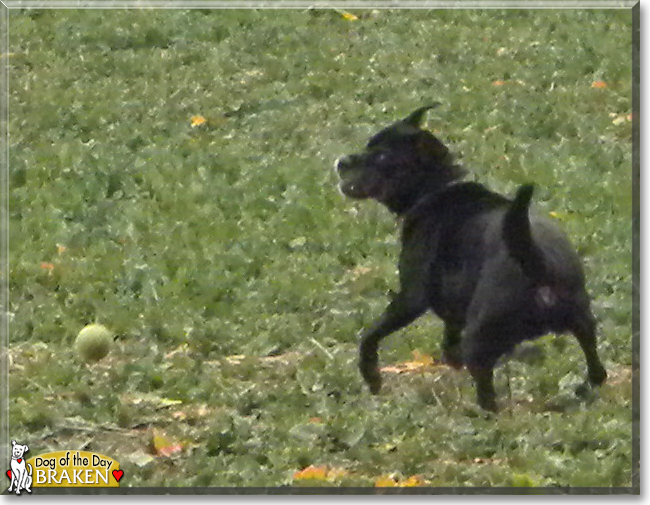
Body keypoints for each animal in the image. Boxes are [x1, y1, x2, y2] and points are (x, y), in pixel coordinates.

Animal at [336, 105, 604, 410]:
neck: (436, 188)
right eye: (369, 145)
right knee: (597, 370)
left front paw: (371, 376)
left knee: (489, 398)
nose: (342, 161)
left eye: (382, 156)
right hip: (583, 322)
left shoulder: (410, 299)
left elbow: (370, 335)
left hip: (478, 339)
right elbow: (449, 345)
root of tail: (537, 261)